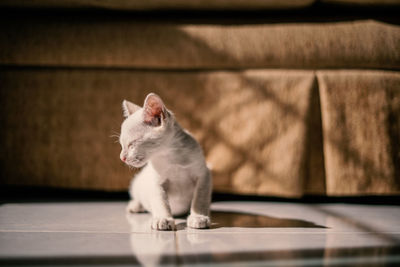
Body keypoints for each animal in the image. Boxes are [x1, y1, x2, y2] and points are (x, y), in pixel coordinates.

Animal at [119, 93, 212, 231]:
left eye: (131, 144)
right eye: (122, 145)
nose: (122, 157)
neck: (171, 157)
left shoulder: (204, 174)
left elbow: (200, 198)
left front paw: (198, 217)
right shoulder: (156, 182)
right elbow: (160, 201)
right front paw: (163, 219)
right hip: (137, 182)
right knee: (137, 196)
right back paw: (135, 206)